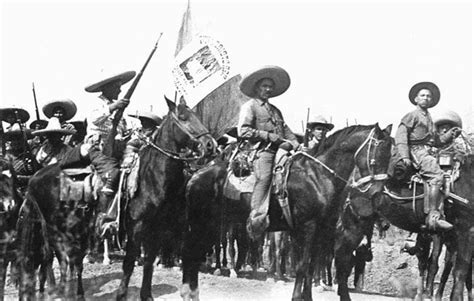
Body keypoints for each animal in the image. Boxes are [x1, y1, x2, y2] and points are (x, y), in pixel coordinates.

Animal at [116, 98, 217, 300]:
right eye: (183, 117)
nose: (211, 145)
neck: (153, 180)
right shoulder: (135, 228)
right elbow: (129, 262)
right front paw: (121, 294)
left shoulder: (158, 229)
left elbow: (149, 262)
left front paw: (146, 295)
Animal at [286, 123, 392, 300]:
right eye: (376, 158)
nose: (378, 193)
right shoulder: (312, 229)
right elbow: (308, 264)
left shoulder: (325, 234)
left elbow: (321, 266)